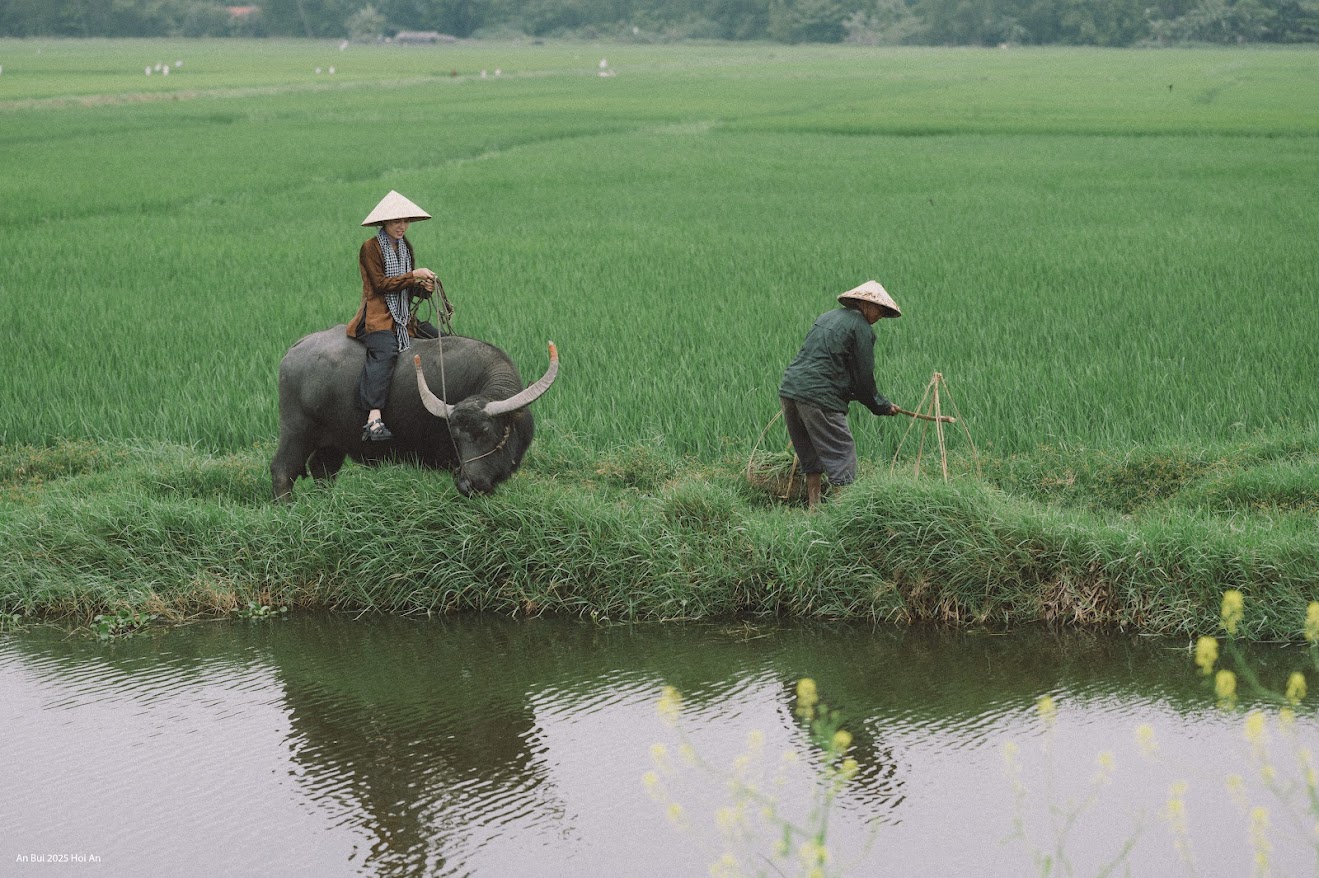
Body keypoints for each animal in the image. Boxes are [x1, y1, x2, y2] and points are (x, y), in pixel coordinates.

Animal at [267, 322, 556, 498]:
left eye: (486, 432)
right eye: (456, 437)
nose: (467, 484)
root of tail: (295, 350)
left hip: (334, 442)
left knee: (322, 470)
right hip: (296, 430)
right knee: (283, 471)